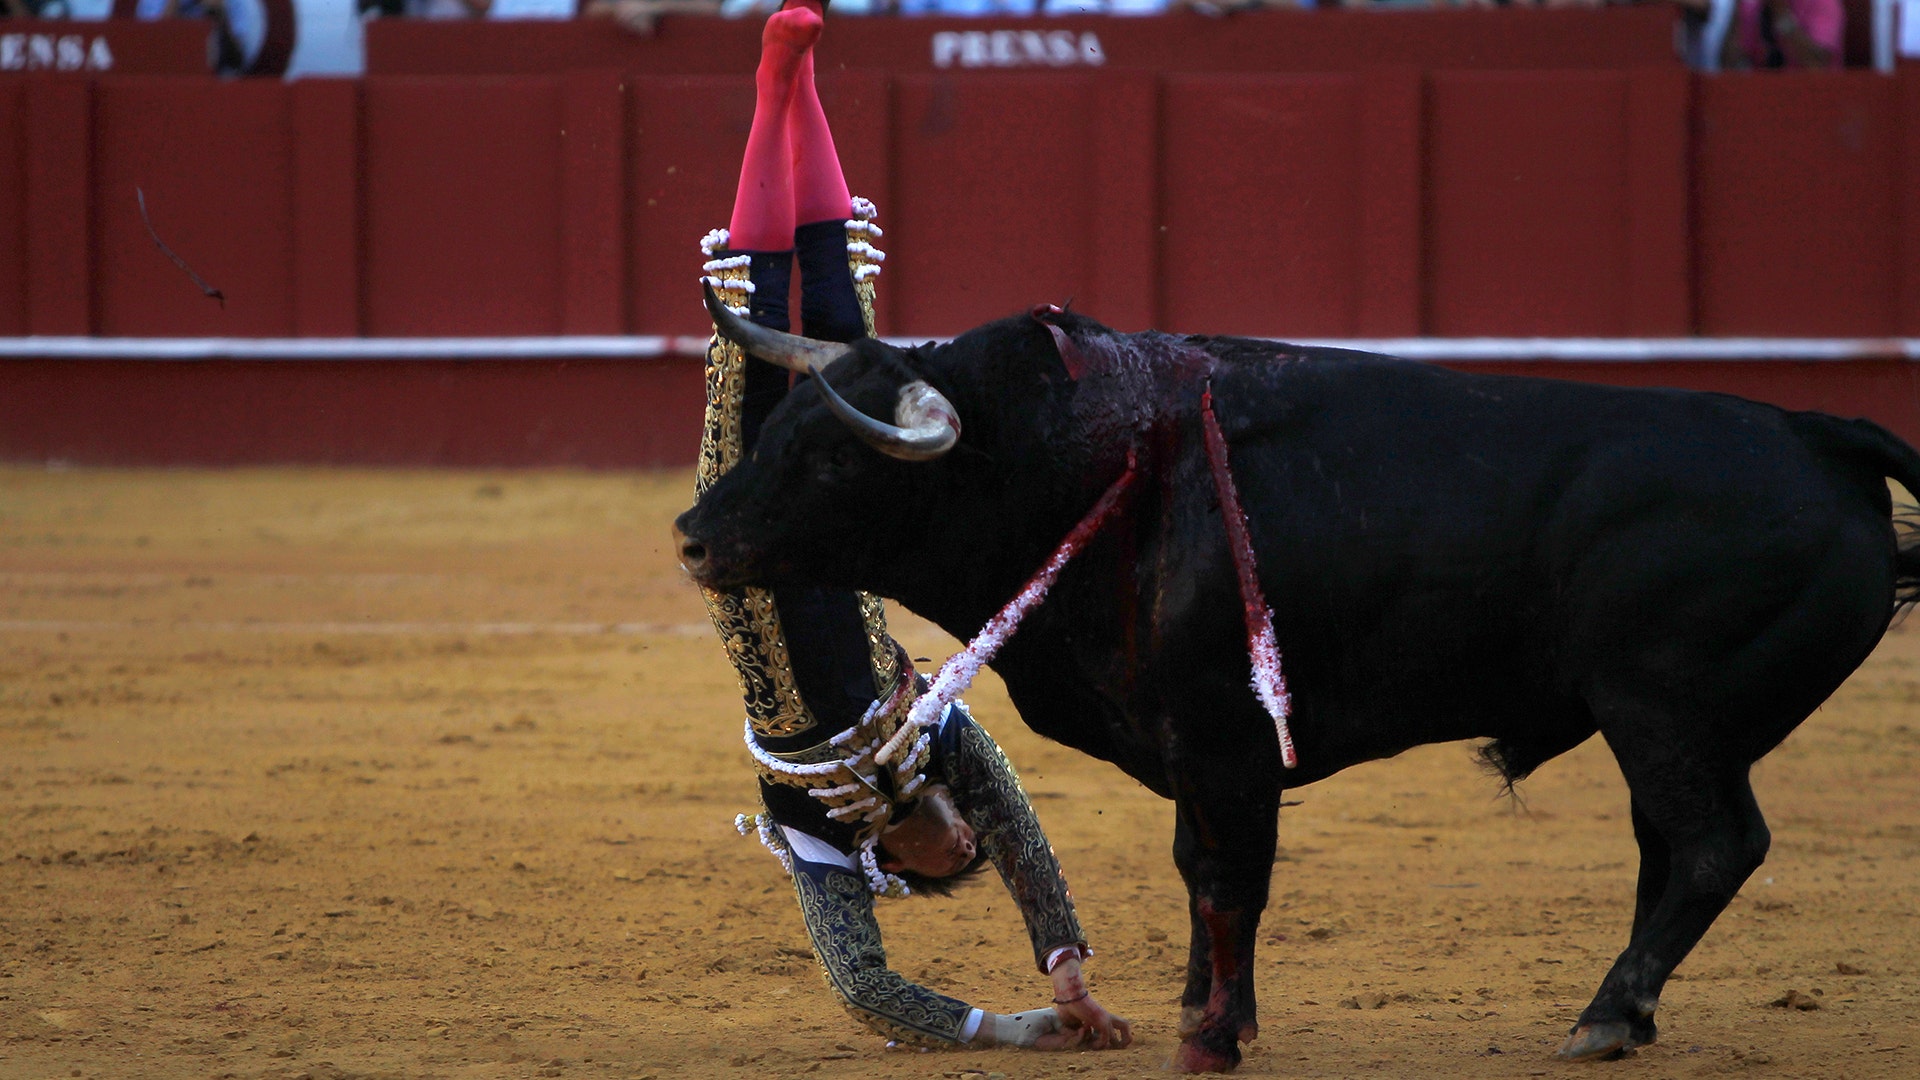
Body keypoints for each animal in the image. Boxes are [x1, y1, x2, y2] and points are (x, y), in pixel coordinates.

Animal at [674, 289, 1920, 1071]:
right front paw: (1206, 1010)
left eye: (833, 459)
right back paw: (1630, 1015)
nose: (692, 536)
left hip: (1661, 713)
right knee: (1671, 853)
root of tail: (1822, 435)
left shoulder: (1225, 736)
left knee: (1715, 847)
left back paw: (1605, 1018)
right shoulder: (1198, 747)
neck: (1087, 462)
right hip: (1673, 731)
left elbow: (1226, 877)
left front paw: (1211, 1036)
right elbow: (1204, 874)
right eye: (775, 429)